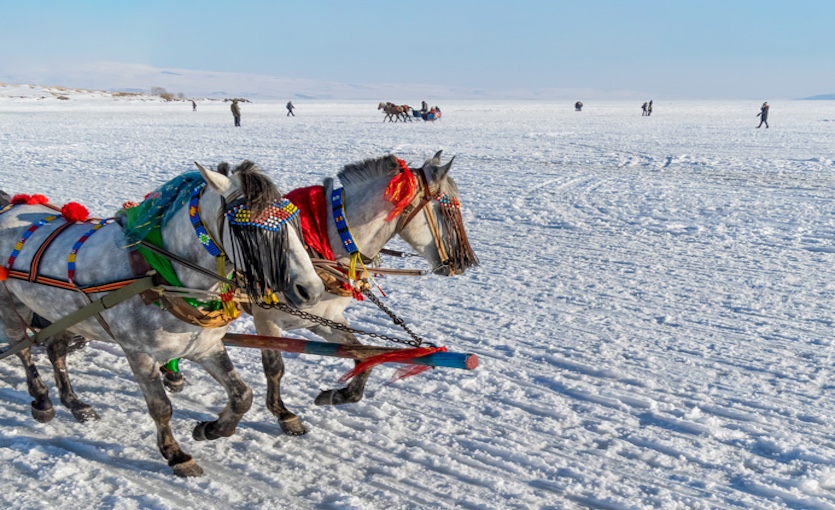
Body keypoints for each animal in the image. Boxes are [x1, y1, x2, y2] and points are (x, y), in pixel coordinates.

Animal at [0, 161, 324, 476]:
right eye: (251, 230)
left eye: (295, 223)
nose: (312, 289)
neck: (158, 273)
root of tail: (10, 206)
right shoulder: (139, 354)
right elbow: (161, 407)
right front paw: (176, 454)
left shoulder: (205, 346)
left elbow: (242, 395)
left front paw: (211, 429)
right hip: (12, 307)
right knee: (24, 351)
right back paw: (42, 400)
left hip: (66, 314)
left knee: (55, 351)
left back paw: (76, 404)